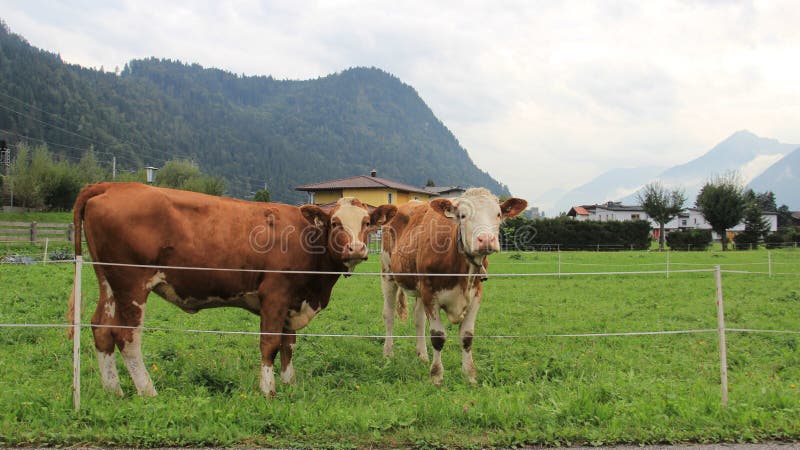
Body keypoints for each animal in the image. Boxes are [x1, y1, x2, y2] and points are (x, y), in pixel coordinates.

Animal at [67, 181, 396, 396]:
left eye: (367, 223)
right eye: (336, 223)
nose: (356, 249)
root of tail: (112, 185)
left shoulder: (293, 302)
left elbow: (289, 345)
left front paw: (290, 384)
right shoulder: (274, 295)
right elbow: (270, 344)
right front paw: (268, 390)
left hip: (108, 280)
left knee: (101, 328)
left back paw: (113, 390)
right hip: (131, 283)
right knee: (127, 336)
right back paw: (148, 390)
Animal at [380, 189, 524, 384]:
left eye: (498, 214)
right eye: (463, 215)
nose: (486, 239)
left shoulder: (476, 295)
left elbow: (467, 337)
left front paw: (470, 376)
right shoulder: (430, 293)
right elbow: (438, 337)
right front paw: (436, 375)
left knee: (418, 319)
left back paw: (422, 355)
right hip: (388, 274)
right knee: (389, 316)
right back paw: (388, 353)